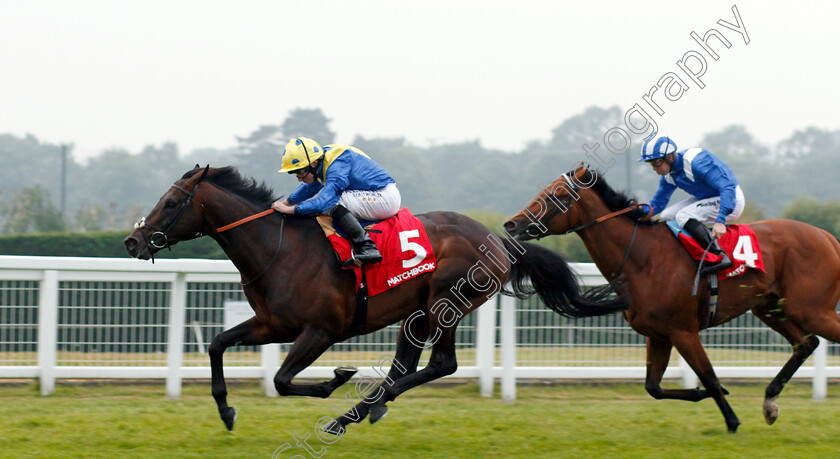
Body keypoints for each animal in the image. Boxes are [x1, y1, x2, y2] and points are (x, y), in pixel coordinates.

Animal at [124, 166, 632, 434]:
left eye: (171, 203)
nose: (133, 241)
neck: (280, 248)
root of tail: (498, 239)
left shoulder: (321, 331)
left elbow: (285, 381)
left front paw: (336, 379)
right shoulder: (272, 325)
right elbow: (216, 345)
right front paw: (226, 410)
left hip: (446, 302)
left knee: (441, 364)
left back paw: (352, 412)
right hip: (417, 311)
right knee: (405, 366)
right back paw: (368, 407)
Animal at [502, 164, 840, 434]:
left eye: (555, 196)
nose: (511, 224)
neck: (643, 258)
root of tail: (827, 237)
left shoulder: (683, 331)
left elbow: (709, 377)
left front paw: (732, 422)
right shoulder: (659, 334)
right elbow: (654, 387)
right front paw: (704, 396)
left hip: (811, 310)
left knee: (812, 339)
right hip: (770, 308)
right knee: (806, 344)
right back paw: (770, 401)